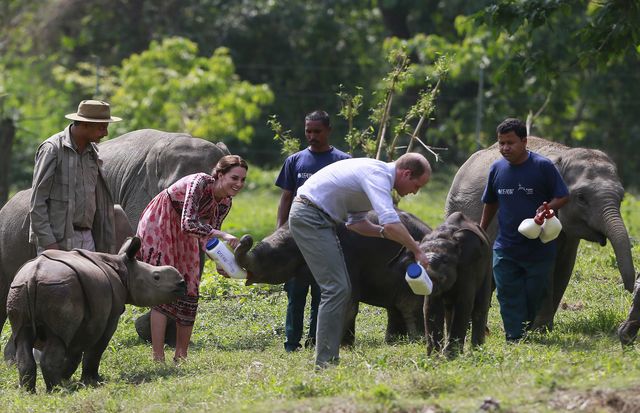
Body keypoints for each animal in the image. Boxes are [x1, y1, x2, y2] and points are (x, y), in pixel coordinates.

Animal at [6, 237, 185, 392]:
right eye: (156, 277)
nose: (182, 283)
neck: (125, 270)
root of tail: (33, 277)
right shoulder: (110, 317)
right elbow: (96, 349)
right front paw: (93, 381)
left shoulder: (87, 320)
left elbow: (75, 352)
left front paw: (68, 377)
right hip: (59, 288)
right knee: (58, 340)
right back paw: (58, 390)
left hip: (19, 289)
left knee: (22, 337)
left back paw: (29, 391)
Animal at [444, 137, 636, 330]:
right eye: (581, 198)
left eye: (621, 198)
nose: (630, 289)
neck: (565, 154)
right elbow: (545, 269)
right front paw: (539, 330)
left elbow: (564, 267)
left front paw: (543, 329)